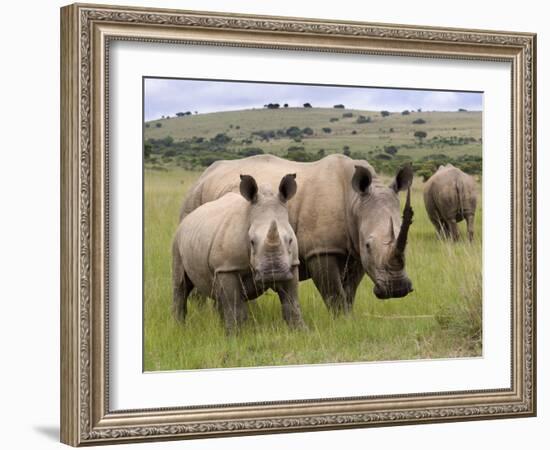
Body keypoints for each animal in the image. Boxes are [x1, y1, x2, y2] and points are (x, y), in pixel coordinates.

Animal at [172, 174, 306, 332]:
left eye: (290, 240)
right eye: (252, 242)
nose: (275, 273)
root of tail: (189, 215)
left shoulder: (291, 265)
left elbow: (291, 302)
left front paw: (300, 331)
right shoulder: (227, 267)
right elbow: (234, 304)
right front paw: (234, 335)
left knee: (218, 295)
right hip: (178, 239)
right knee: (181, 285)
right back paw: (177, 328)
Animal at [180, 154, 414, 312]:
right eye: (369, 245)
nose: (397, 290)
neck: (355, 201)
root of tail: (203, 175)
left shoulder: (355, 249)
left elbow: (349, 292)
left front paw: (349, 320)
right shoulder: (322, 250)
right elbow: (334, 293)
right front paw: (341, 322)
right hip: (193, 201)